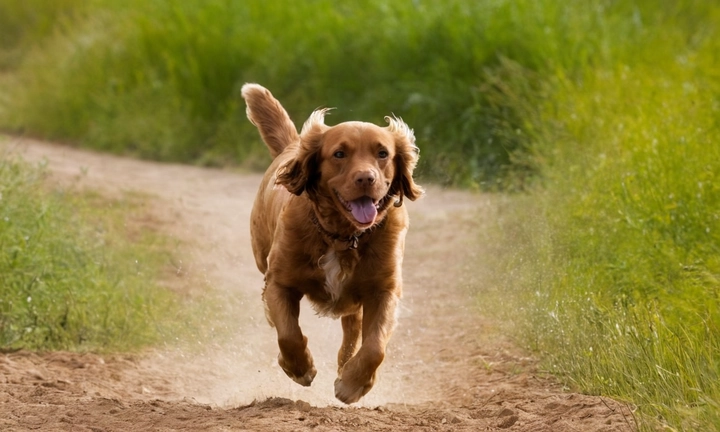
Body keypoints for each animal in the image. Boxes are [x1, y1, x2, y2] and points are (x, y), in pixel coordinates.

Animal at [242, 84, 422, 404]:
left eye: (383, 153)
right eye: (339, 153)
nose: (366, 178)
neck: (343, 237)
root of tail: (294, 145)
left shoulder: (384, 290)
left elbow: (374, 347)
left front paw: (352, 384)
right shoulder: (278, 282)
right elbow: (288, 333)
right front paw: (299, 368)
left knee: (352, 329)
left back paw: (345, 366)